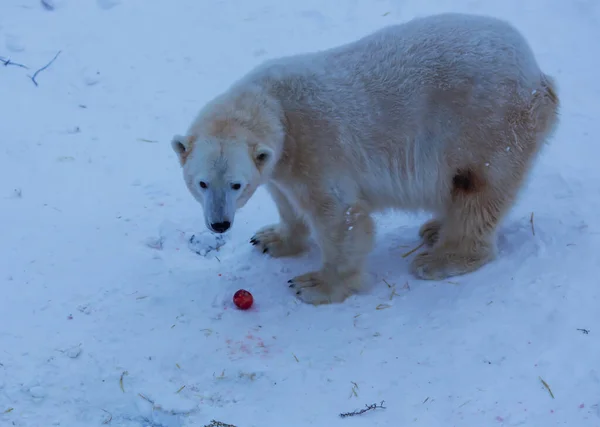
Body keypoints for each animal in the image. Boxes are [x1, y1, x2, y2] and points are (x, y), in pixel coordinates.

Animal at [171, 11, 560, 306]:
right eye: (201, 183)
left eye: (235, 185)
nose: (219, 224)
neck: (275, 105)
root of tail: (538, 76)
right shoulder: (280, 163)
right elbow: (286, 201)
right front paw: (271, 239)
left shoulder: (316, 147)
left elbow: (340, 216)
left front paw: (314, 284)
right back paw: (434, 228)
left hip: (486, 127)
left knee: (477, 191)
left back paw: (439, 257)